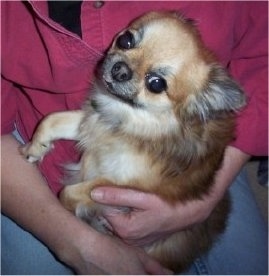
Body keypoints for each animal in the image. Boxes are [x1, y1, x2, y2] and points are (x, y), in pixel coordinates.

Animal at [22, 12, 246, 272]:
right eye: (126, 40)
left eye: (156, 84)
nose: (120, 69)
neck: (129, 118)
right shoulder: (93, 123)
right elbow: (50, 120)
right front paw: (35, 148)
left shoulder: (123, 186)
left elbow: (67, 193)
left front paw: (86, 217)